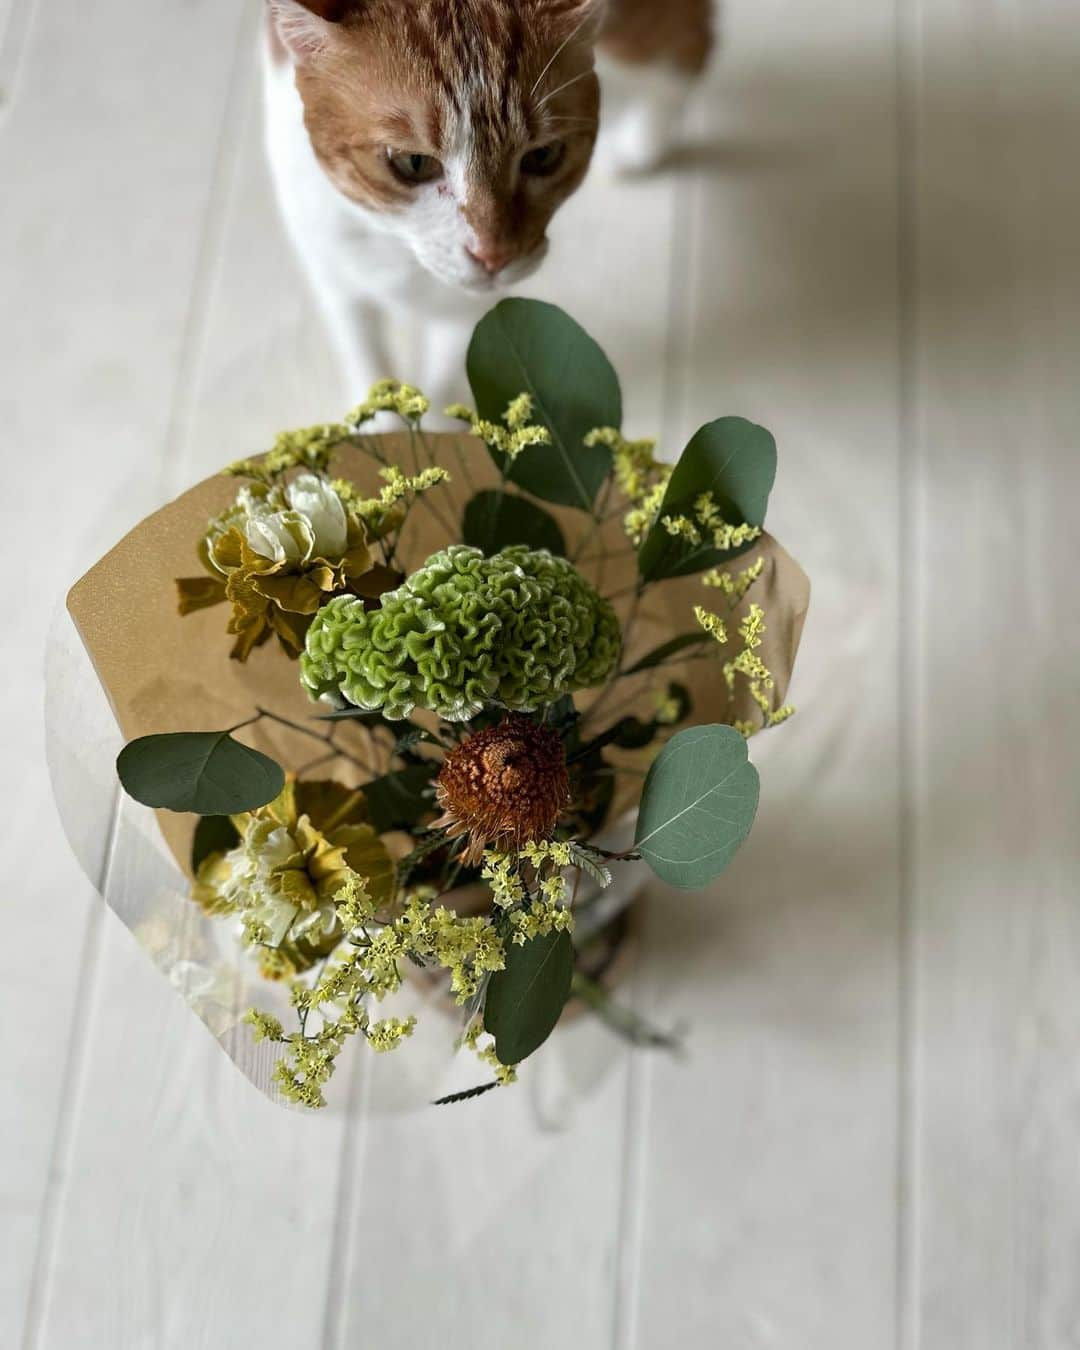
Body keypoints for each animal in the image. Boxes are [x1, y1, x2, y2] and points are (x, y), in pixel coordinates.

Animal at [265, 0, 712, 399]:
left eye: (543, 156)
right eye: (413, 163)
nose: (495, 255)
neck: (396, 246)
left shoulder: (466, 308)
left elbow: (448, 372)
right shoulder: (331, 268)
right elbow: (366, 360)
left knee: (689, 46)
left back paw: (638, 149)